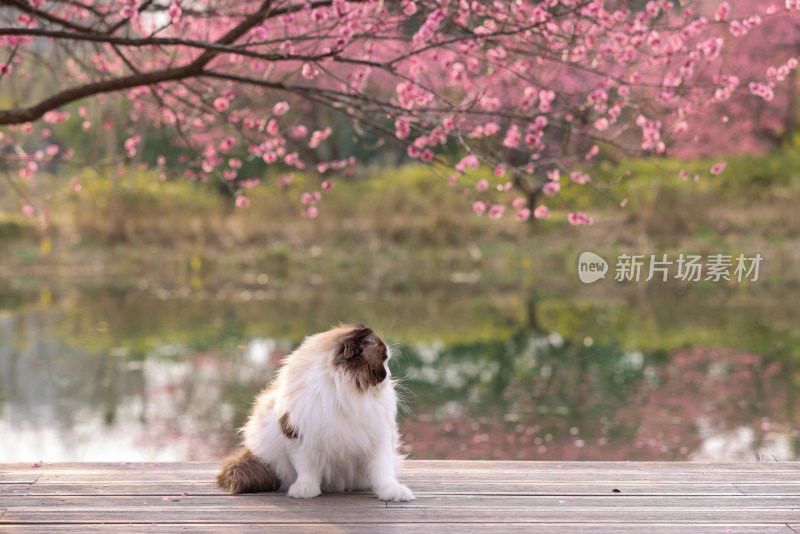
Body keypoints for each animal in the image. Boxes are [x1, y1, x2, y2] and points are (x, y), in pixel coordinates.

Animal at [216, 324, 416, 504]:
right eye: (383, 361)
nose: (390, 376)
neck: (344, 392)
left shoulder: (377, 437)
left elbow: (383, 472)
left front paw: (392, 492)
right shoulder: (300, 438)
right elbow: (307, 471)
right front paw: (305, 489)